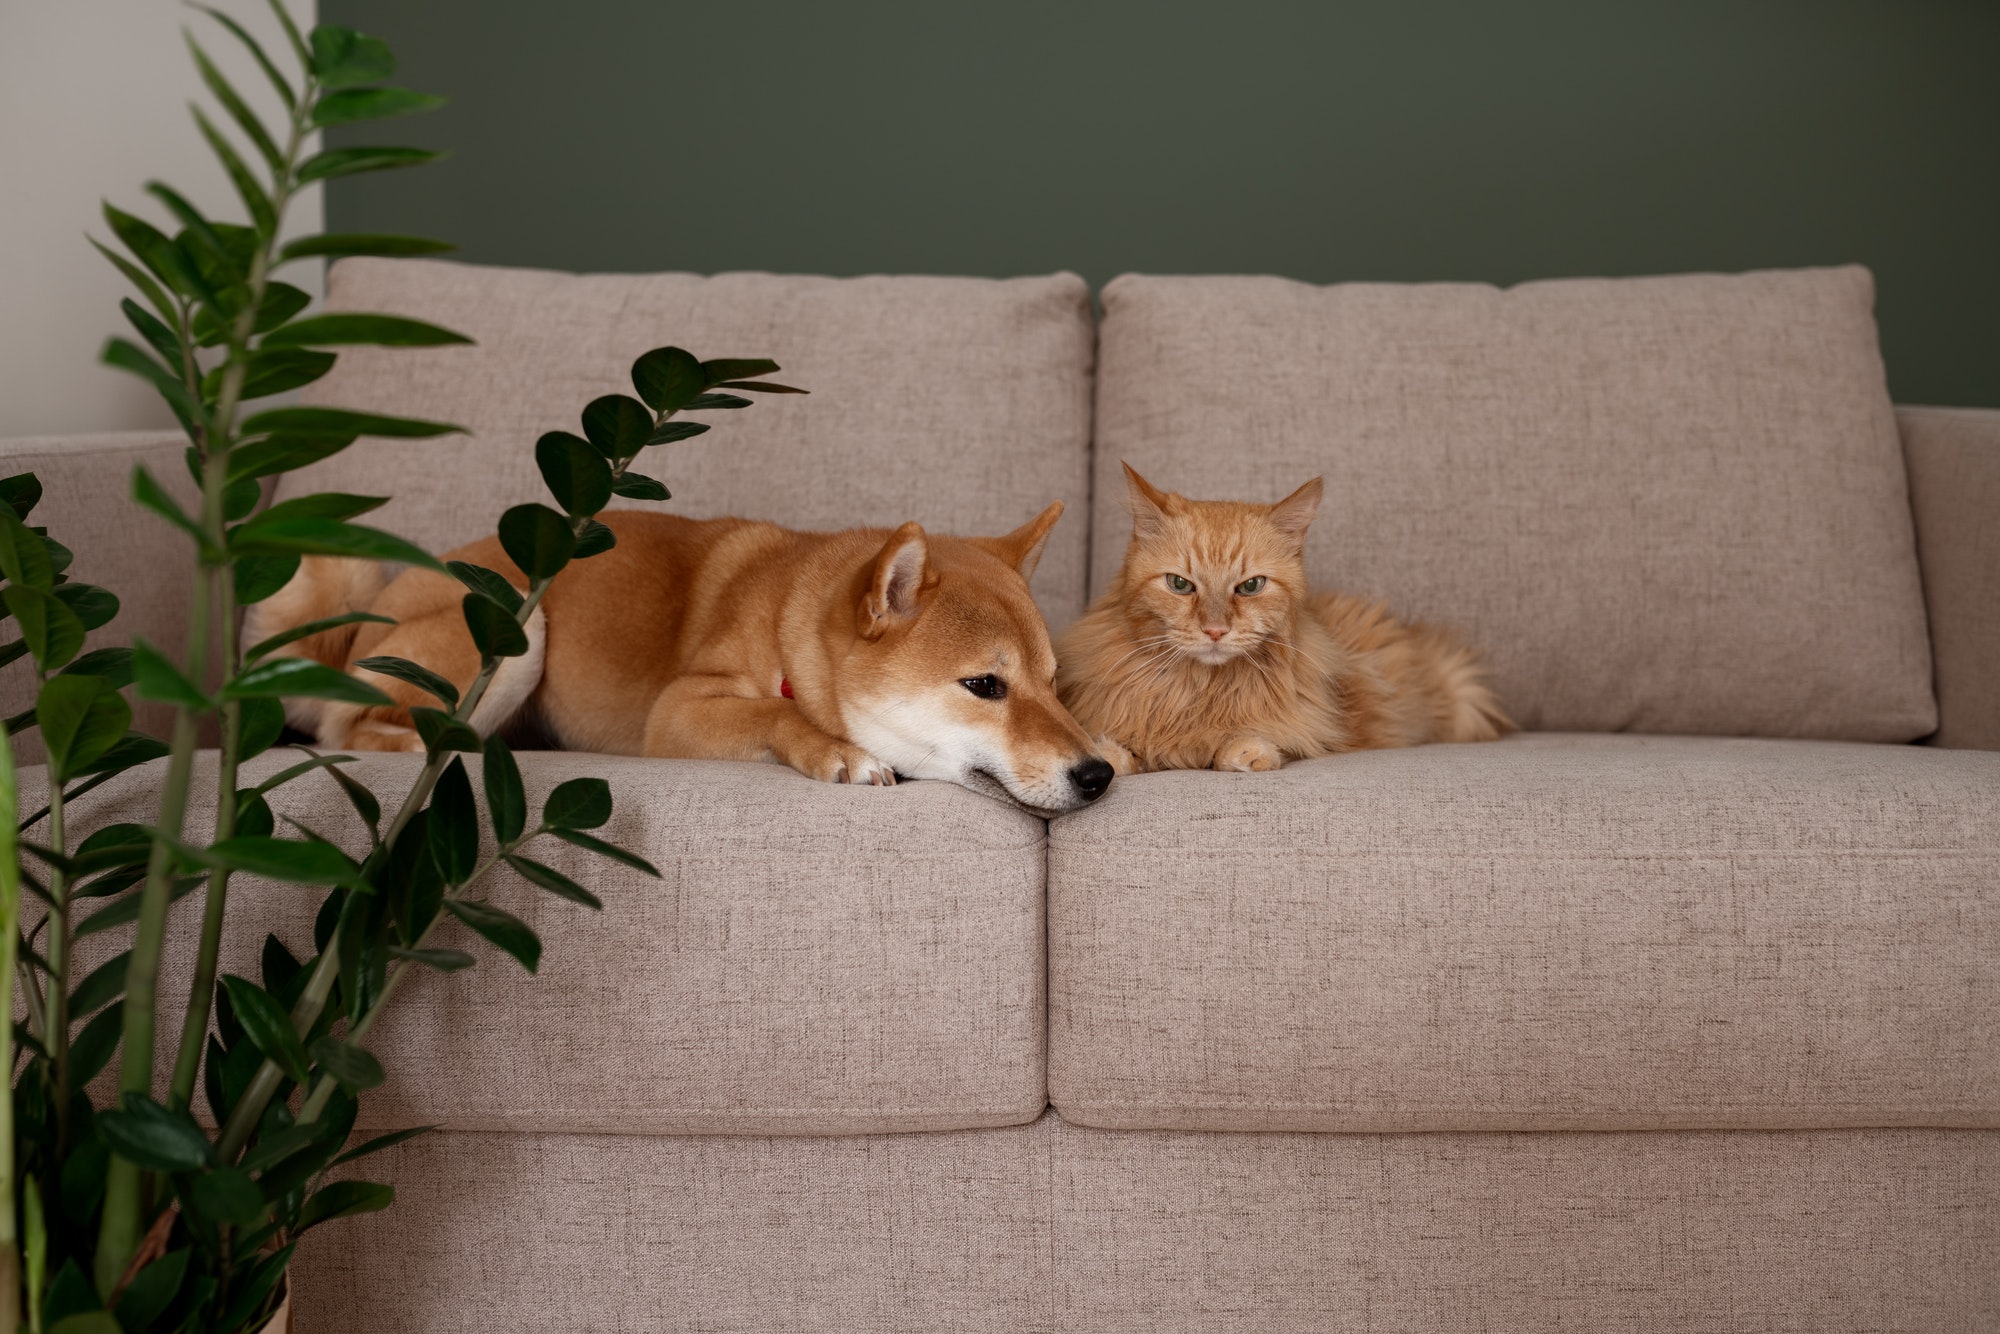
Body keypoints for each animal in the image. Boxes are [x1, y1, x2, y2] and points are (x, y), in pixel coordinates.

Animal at [244, 500, 1120, 816]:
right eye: (984, 685)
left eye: (1053, 684)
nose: (1095, 776)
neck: (788, 630)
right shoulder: (677, 713)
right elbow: (773, 713)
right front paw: (836, 750)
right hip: (519, 633)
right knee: (350, 729)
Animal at [1056, 468, 1504, 772]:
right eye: (1180, 584)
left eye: (1251, 586)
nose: (1215, 631)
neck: (1200, 692)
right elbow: (1119, 750)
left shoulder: (1313, 726)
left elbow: (1260, 741)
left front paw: (1245, 751)